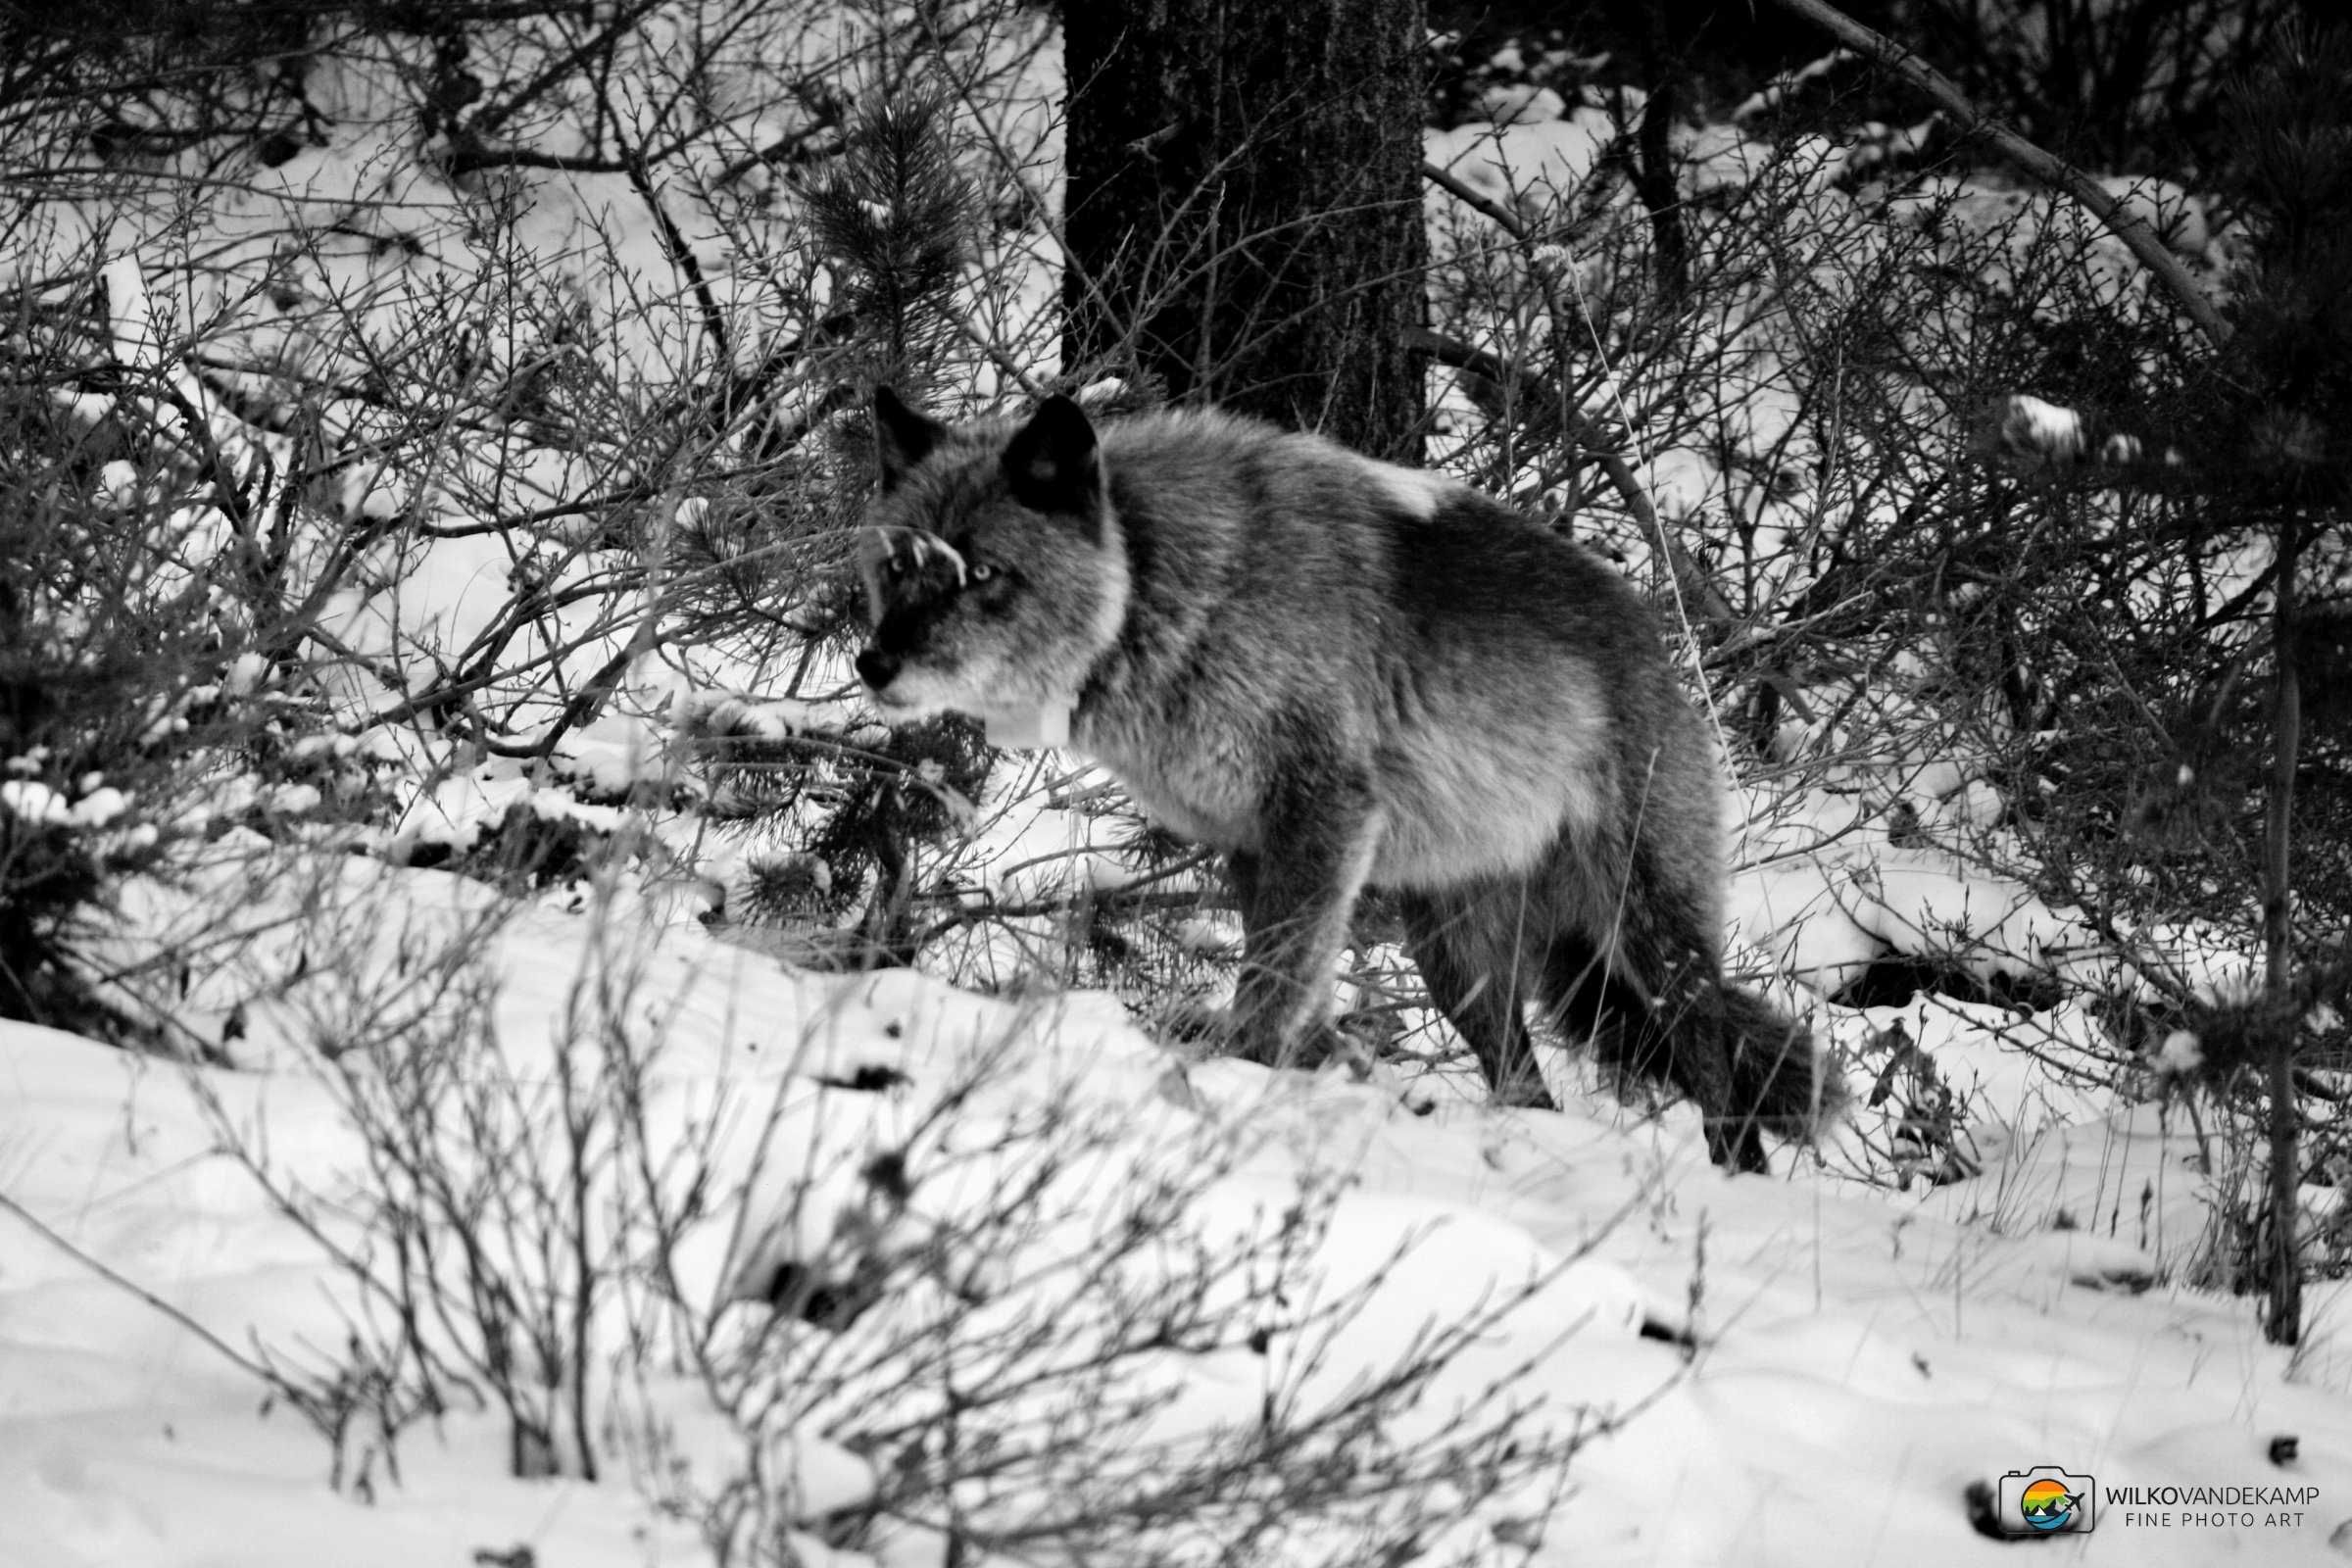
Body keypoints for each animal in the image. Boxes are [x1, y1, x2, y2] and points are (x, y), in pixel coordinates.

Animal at [853, 387, 1825, 1171]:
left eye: (982, 572)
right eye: (897, 566)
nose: (872, 665)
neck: (1172, 587)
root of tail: (1662, 645)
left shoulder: (1323, 815)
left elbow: (1273, 989)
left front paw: (1235, 1083)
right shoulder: (1253, 845)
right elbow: (1289, 986)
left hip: (1648, 937)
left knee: (1717, 1075)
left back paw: (1731, 1184)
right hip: (1458, 964)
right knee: (1527, 1079)